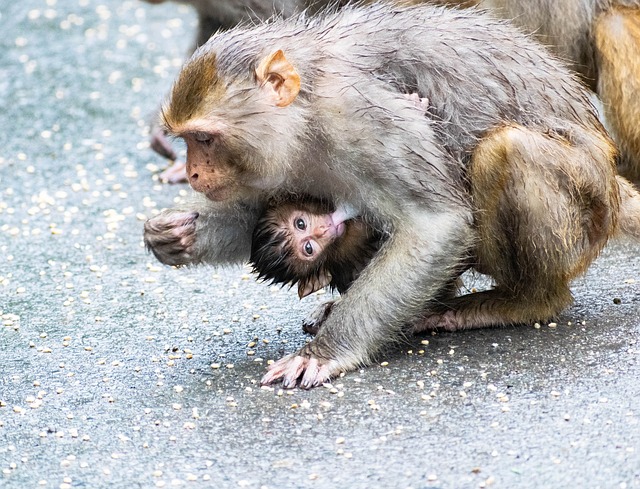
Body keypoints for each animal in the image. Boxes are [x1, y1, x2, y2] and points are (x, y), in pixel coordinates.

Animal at [144, 2, 640, 386]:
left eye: (205, 139)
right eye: (187, 139)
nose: (194, 172)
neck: (307, 113)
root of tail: (612, 188)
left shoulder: (364, 123)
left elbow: (435, 226)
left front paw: (324, 353)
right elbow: (263, 206)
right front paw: (180, 235)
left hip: (586, 213)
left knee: (508, 150)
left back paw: (526, 301)